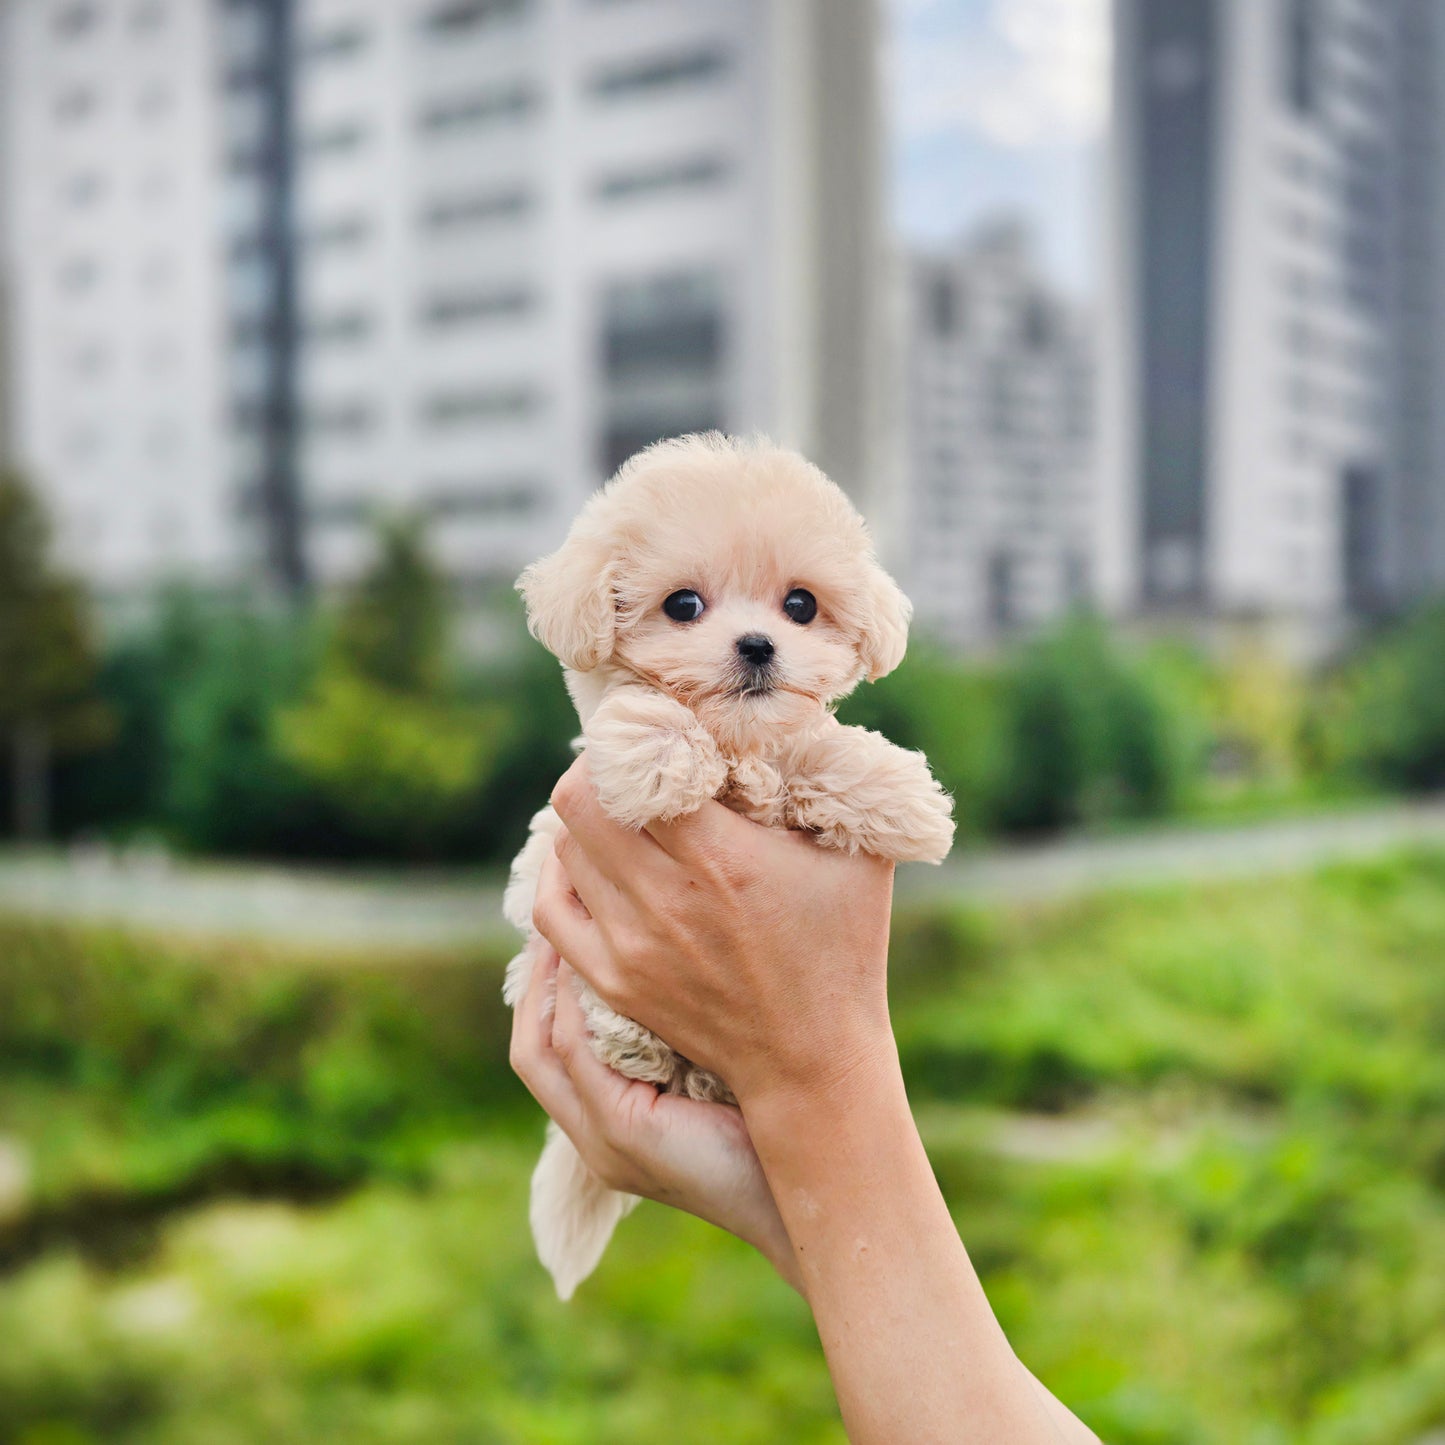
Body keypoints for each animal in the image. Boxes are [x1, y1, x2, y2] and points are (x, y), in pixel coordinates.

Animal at [502, 427, 953, 1300]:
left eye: (799, 604)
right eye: (682, 605)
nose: (756, 644)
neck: (735, 741)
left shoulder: (786, 751)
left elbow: (819, 749)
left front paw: (904, 796)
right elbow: (639, 716)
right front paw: (665, 759)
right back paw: (637, 1042)